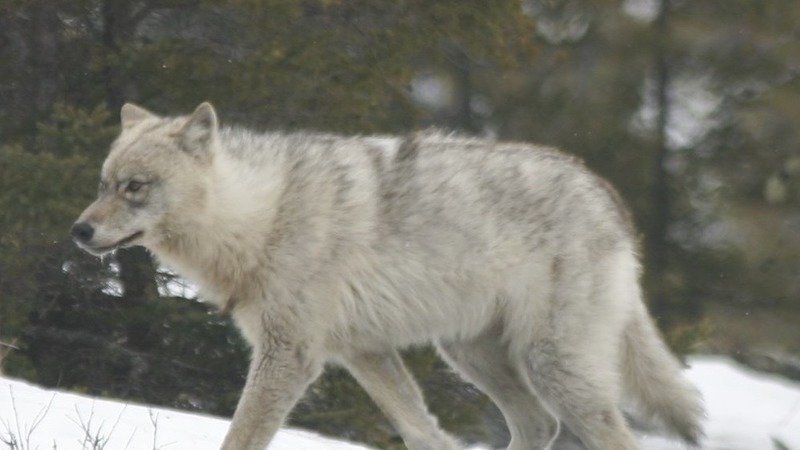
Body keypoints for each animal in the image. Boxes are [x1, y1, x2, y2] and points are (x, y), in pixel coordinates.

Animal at [72, 102, 704, 450]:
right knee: (538, 426)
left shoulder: (291, 356)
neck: (260, 216)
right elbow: (423, 431)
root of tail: (607, 195)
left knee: (609, 436)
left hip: (552, 365)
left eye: (134, 187)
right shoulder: (363, 351)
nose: (79, 231)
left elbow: (240, 437)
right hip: (473, 355)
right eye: (102, 184)